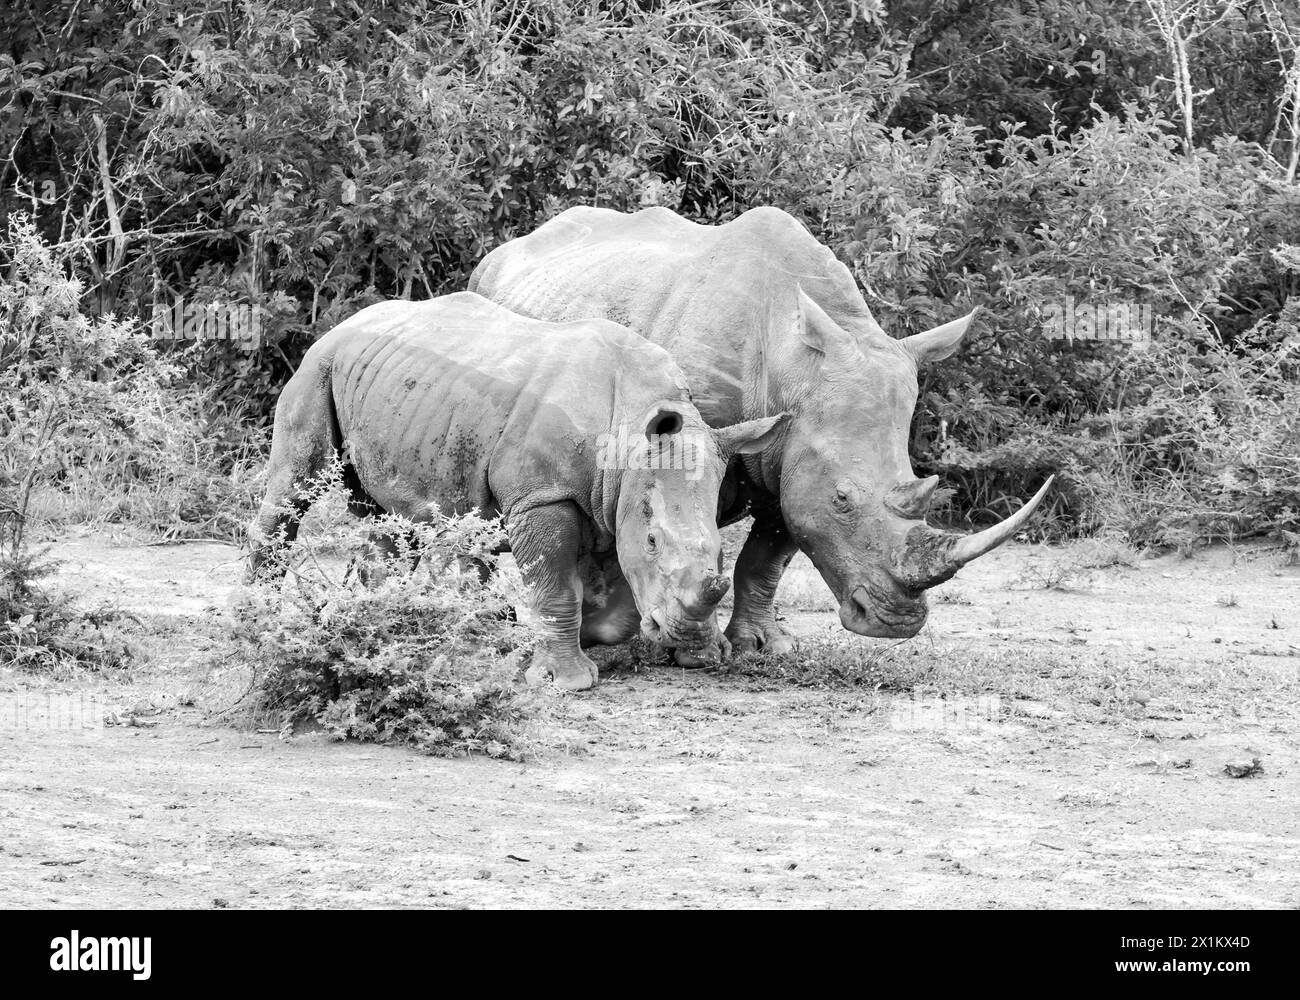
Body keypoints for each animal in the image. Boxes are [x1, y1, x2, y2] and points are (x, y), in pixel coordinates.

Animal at [247, 291, 786, 689]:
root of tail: (341, 325)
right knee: (294, 486)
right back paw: (258, 621)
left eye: (720, 552)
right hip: (318, 368)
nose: (687, 636)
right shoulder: (545, 495)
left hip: (395, 392)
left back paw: (384, 625)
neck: (630, 427)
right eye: (654, 542)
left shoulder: (610, 497)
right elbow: (555, 586)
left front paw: (585, 636)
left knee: (389, 520)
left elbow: (613, 600)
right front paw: (565, 680)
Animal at [470, 206, 1052, 655]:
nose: (897, 625)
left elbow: (767, 557)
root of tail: (507, 251)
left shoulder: (792, 458)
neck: (795, 368)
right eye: (843, 499)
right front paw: (698, 647)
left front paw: (760, 645)